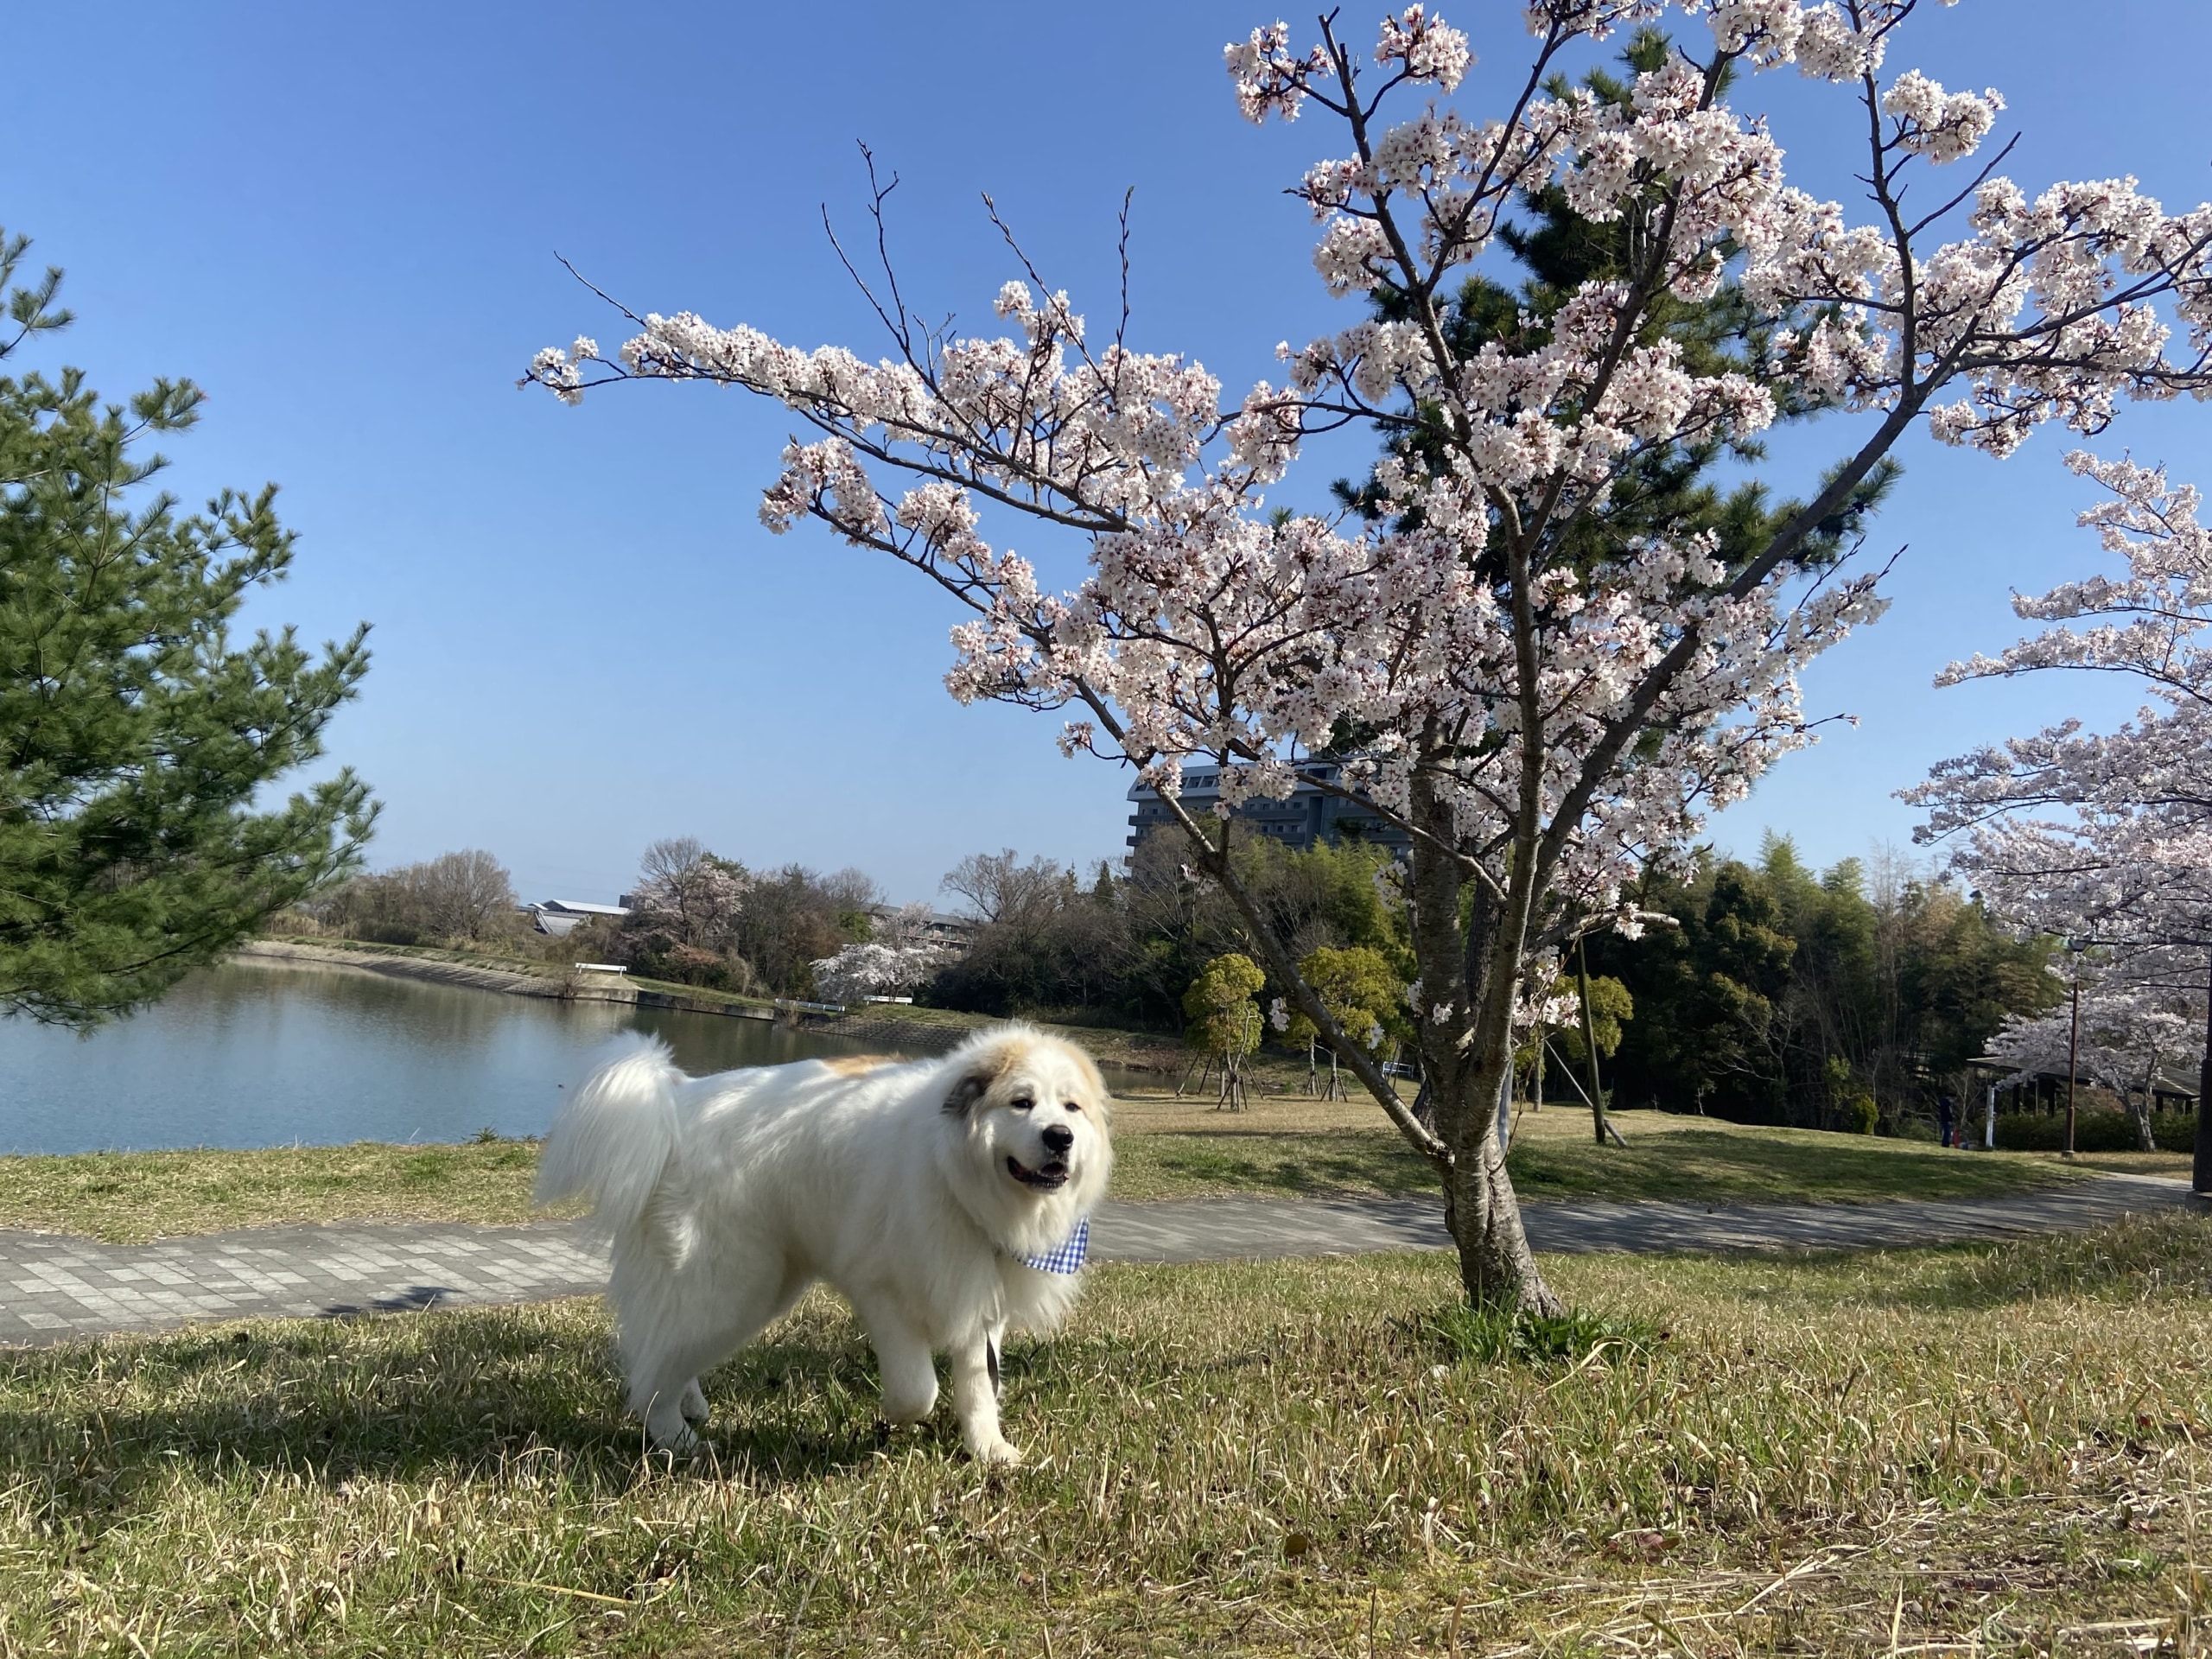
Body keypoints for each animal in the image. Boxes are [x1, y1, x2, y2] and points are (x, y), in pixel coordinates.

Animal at [532, 1026, 1115, 1468]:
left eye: (1071, 1107)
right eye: (1021, 1103)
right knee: (653, 1370)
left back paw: (690, 1406)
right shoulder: (884, 1294)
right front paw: (893, 1419)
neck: (957, 1177)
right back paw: (679, 1439)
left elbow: (978, 1389)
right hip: (731, 1286)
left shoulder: (975, 1298)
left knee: (663, 1348)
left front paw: (990, 1451)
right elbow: (918, 1390)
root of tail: (675, 1102)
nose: (1059, 1137)